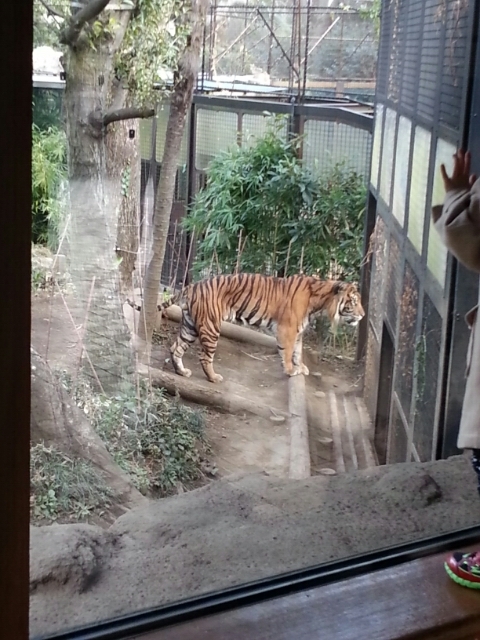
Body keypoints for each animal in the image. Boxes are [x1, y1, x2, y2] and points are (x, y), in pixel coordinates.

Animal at [128, 273, 364, 383]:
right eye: (353, 301)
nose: (362, 315)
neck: (320, 301)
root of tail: (192, 285)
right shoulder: (287, 330)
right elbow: (288, 353)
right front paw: (291, 371)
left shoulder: (298, 332)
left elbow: (297, 351)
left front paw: (302, 367)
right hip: (211, 327)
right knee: (205, 357)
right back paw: (214, 378)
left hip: (190, 326)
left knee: (175, 348)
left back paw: (182, 372)